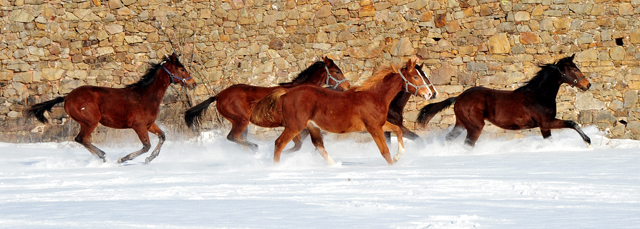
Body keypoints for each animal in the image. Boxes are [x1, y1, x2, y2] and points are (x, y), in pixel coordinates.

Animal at [25, 52, 195, 164]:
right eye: (181, 69)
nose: (193, 83)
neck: (146, 95)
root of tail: (67, 97)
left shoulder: (149, 124)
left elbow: (163, 136)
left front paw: (149, 159)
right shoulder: (139, 126)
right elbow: (146, 146)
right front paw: (123, 159)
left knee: (83, 139)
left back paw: (103, 155)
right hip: (90, 122)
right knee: (81, 139)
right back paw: (103, 156)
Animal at [184, 56, 350, 151]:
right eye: (336, 71)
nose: (348, 86)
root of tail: (219, 95)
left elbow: (299, 143)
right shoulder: (293, 125)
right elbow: (297, 144)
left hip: (240, 123)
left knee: (238, 139)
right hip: (241, 120)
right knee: (232, 137)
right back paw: (255, 147)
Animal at [250, 57, 430, 165]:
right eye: (416, 77)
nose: (429, 94)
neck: (374, 96)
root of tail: (286, 93)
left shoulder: (380, 124)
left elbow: (398, 130)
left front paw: (398, 156)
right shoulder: (373, 128)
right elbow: (385, 151)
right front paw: (393, 165)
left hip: (312, 127)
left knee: (318, 145)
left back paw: (334, 165)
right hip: (295, 126)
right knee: (279, 144)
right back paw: (276, 167)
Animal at [418, 54, 592, 147]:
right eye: (574, 69)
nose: (588, 85)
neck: (539, 95)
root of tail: (459, 97)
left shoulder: (544, 127)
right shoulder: (547, 122)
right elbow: (573, 123)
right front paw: (588, 141)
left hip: (461, 123)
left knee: (450, 138)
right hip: (475, 126)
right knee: (468, 144)